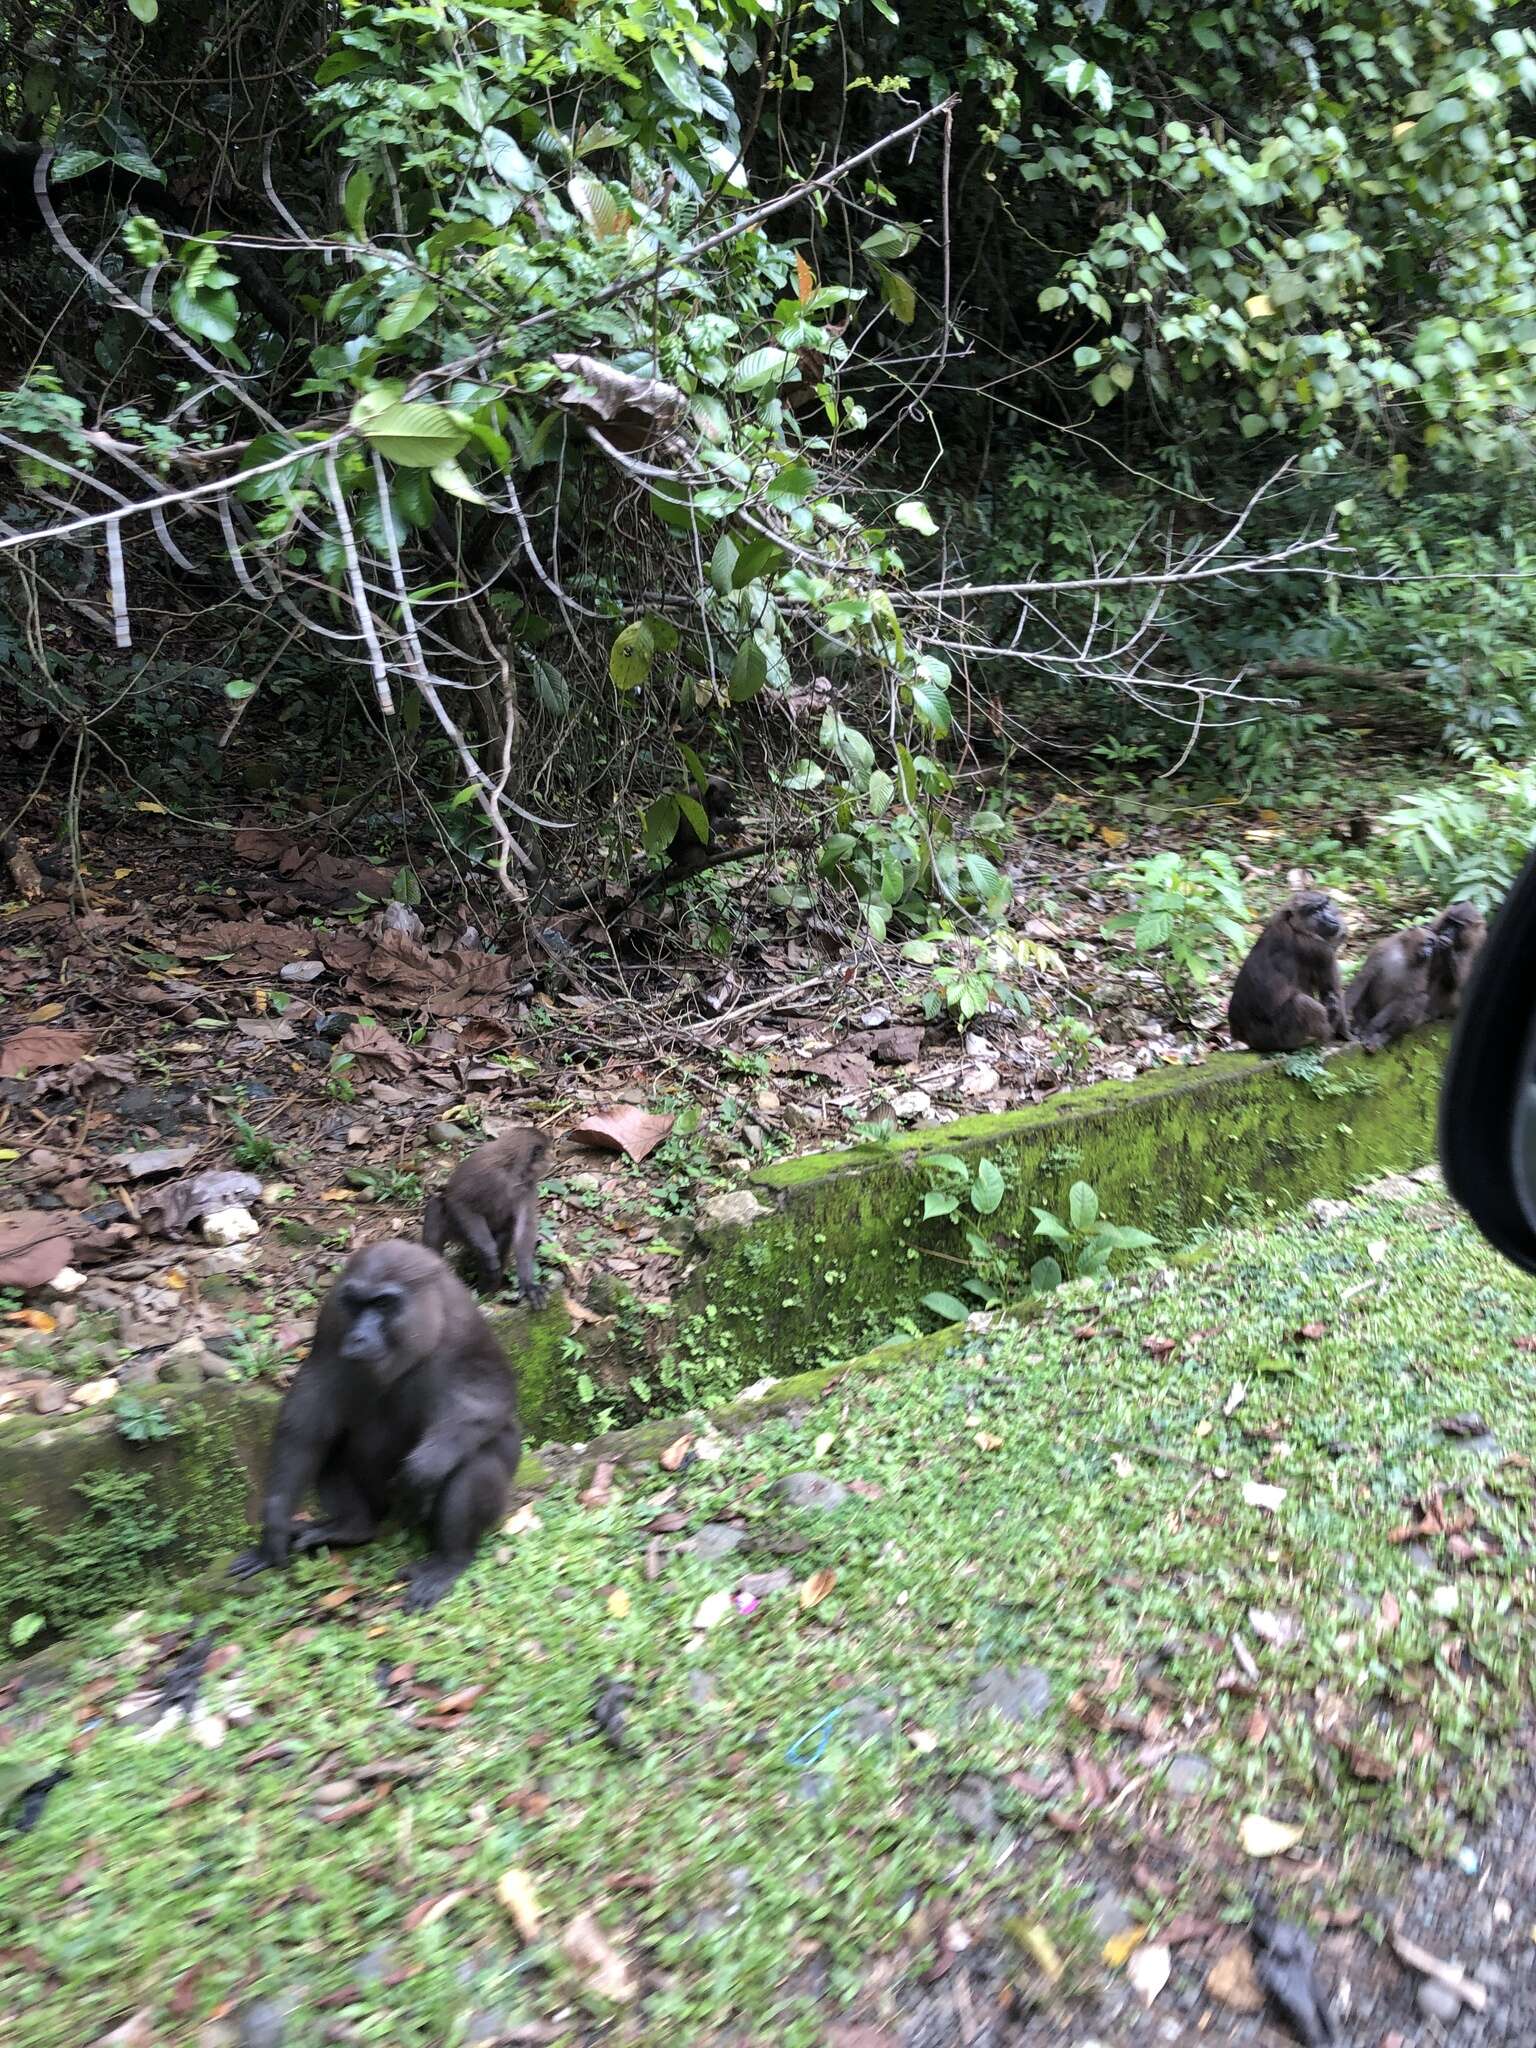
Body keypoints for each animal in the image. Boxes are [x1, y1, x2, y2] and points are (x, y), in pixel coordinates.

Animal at [227, 1228, 518, 1613]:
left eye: (382, 1304)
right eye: (356, 1303)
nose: (359, 1336)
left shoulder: (463, 1327)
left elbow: (490, 1396)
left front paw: (426, 1466)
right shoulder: (333, 1317)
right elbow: (310, 1413)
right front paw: (273, 1522)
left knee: (475, 1462)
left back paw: (449, 1559)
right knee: (333, 1454)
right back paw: (354, 1527)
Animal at [428, 1130, 552, 1302]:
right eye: (546, 1152)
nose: (551, 1158)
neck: (510, 1171)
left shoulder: (527, 1186)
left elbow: (524, 1229)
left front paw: (528, 1284)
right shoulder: (489, 1175)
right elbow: (460, 1203)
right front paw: (490, 1254)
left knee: (505, 1234)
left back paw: (486, 1291)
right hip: (460, 1232)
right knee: (436, 1206)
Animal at [1228, 892, 1343, 1048]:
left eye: (1324, 906)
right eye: (1314, 911)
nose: (1330, 917)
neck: (1292, 925)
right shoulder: (1320, 949)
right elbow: (1331, 990)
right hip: (1274, 1038)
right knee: (1302, 1003)